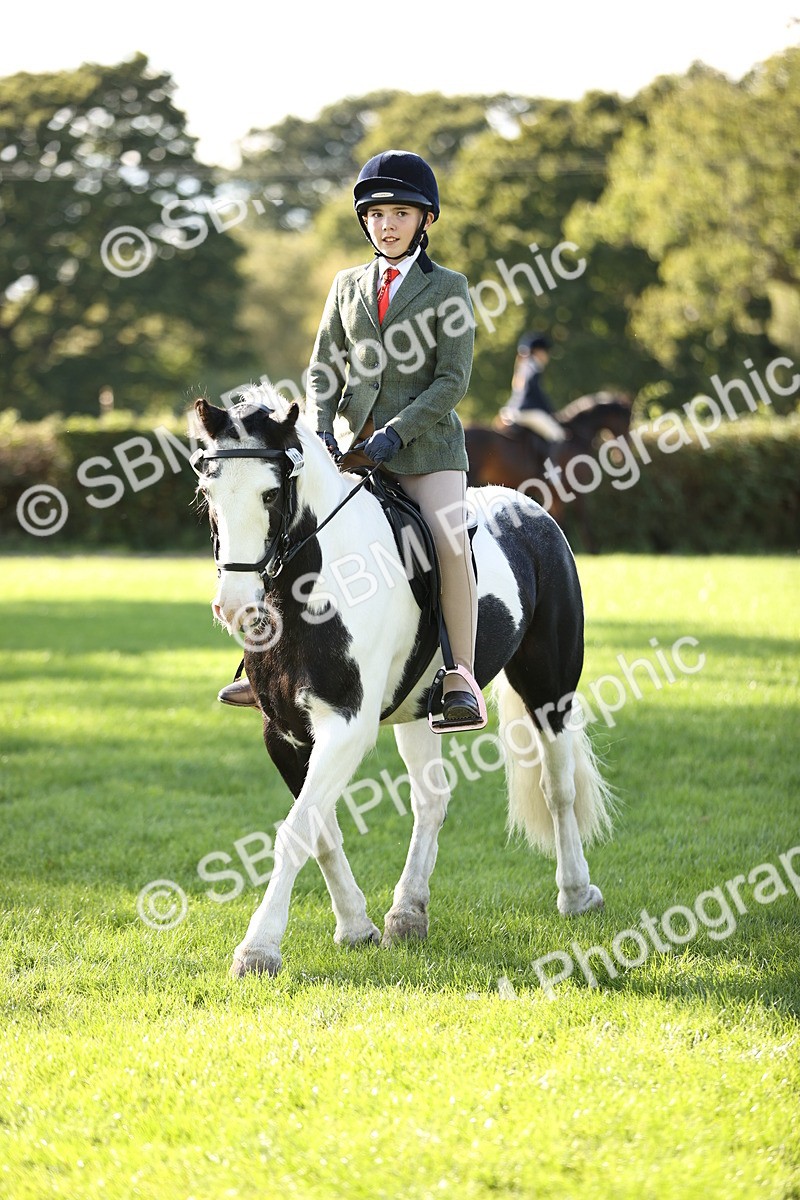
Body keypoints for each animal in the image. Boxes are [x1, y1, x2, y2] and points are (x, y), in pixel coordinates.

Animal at [190, 389, 614, 979]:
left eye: (270, 493)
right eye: (208, 493)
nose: (234, 607)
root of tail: (528, 507)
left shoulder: (346, 725)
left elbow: (296, 830)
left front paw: (258, 949)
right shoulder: (285, 733)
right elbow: (320, 828)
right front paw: (356, 926)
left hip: (549, 688)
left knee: (559, 789)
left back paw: (576, 893)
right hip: (420, 711)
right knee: (431, 802)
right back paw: (407, 913)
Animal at [464, 392, 633, 552]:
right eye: (627, 420)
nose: (621, 456)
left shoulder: (555, 495)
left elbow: (561, 524)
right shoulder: (578, 492)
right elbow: (583, 522)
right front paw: (592, 551)